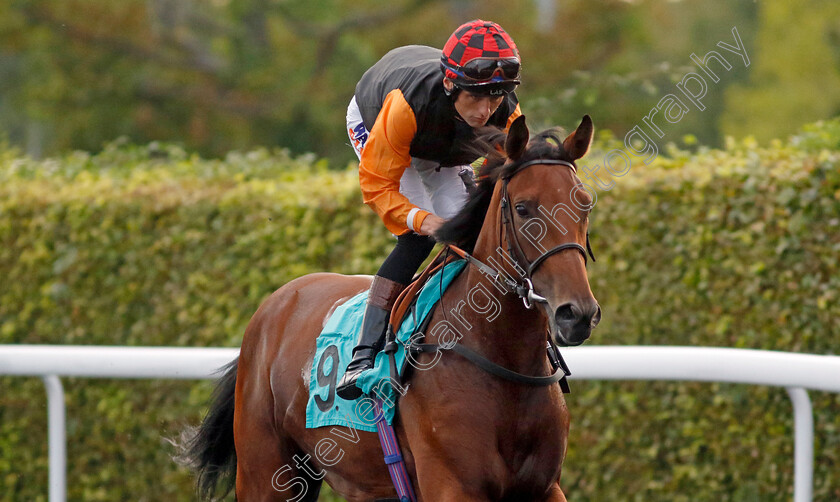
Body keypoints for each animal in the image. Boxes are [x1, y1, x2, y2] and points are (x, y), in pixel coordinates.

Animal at [185, 115, 604, 500]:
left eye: (584, 205)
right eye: (522, 208)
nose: (577, 313)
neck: (504, 362)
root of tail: (276, 302)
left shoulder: (544, 487)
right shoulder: (452, 486)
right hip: (268, 474)